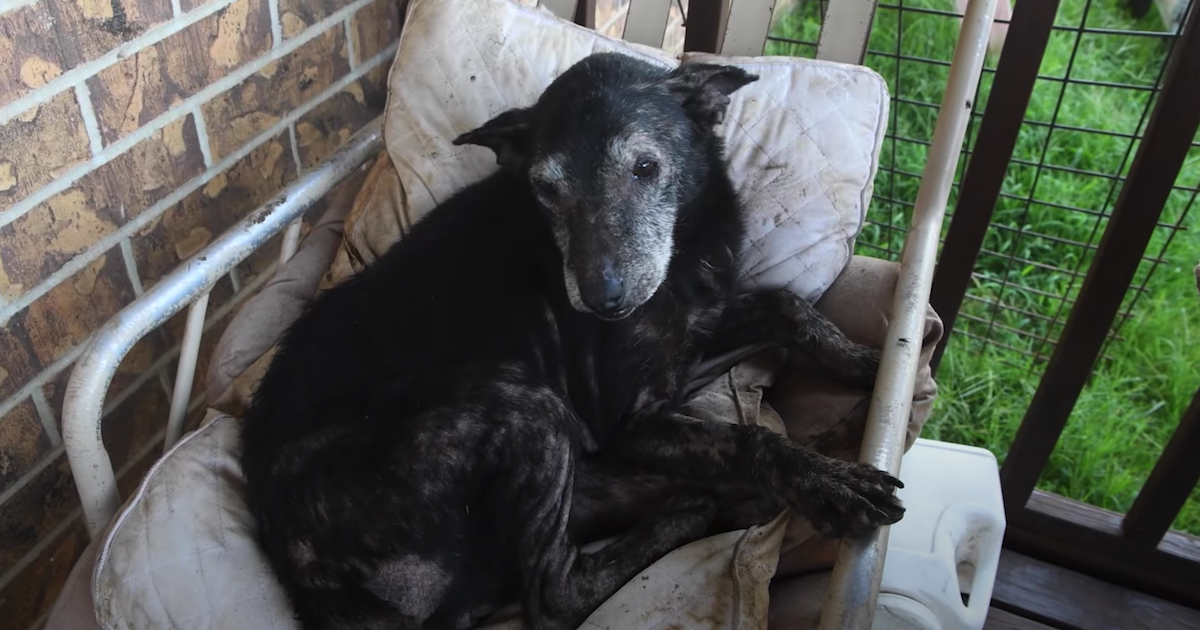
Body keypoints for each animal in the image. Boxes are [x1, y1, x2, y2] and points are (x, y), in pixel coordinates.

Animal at [241, 52, 902, 628]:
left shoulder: (691, 344)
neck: (685, 249)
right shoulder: (630, 418)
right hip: (525, 406)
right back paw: (684, 519)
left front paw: (868, 363)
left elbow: (784, 303)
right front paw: (828, 483)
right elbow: (750, 438)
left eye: (645, 168)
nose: (603, 300)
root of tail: (309, 584)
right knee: (554, 596)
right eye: (548, 189)